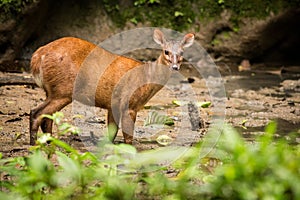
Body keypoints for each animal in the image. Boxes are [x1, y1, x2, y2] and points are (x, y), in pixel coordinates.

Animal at [29, 29, 195, 145]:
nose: (175, 67)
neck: (146, 77)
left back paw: (48, 142)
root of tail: (37, 56)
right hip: (63, 90)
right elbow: (128, 135)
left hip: (53, 91)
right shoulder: (130, 104)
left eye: (182, 53)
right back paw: (34, 144)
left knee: (46, 117)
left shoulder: (113, 104)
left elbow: (111, 133)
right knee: (37, 112)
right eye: (166, 51)